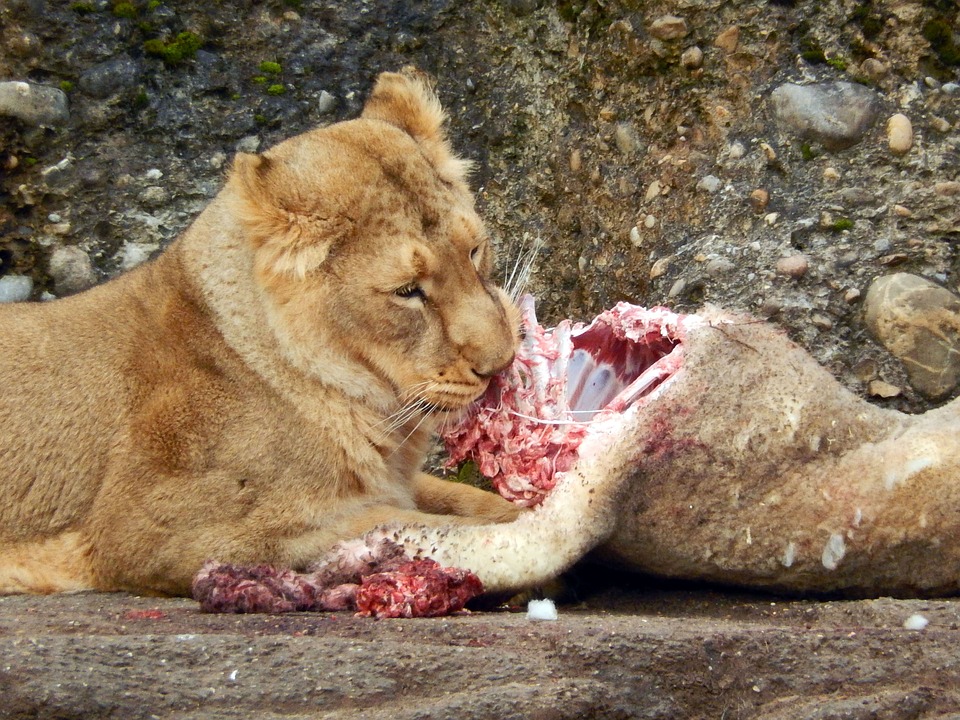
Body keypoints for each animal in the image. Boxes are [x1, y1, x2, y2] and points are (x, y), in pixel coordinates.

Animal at [0, 69, 528, 596]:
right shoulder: (158, 532)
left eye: (474, 250)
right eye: (407, 291)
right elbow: (402, 524)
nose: (502, 364)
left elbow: (464, 501)